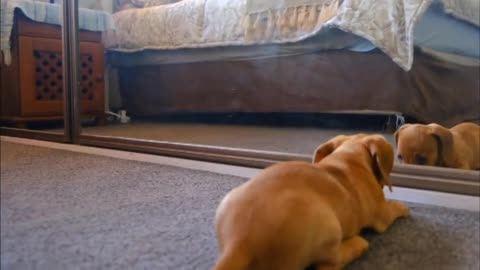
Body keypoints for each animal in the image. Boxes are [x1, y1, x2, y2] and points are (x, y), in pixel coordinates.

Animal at [214, 134, 408, 268]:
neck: (349, 156)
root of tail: (239, 242)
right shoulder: (382, 215)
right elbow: (393, 209)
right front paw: (402, 206)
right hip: (331, 227)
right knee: (328, 264)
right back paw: (358, 244)